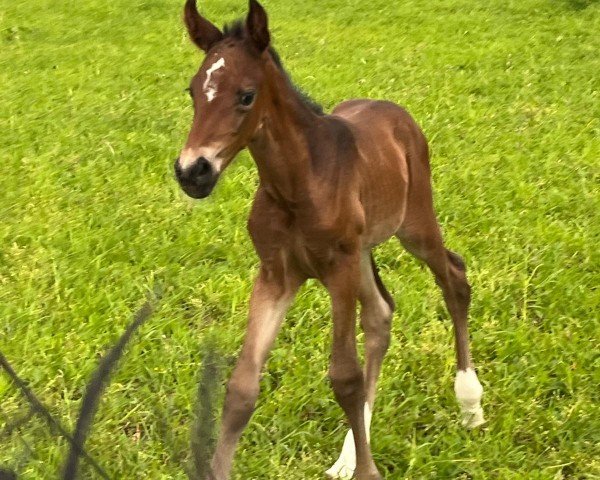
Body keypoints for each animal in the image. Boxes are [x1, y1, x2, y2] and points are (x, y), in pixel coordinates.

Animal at [172, 1, 482, 478]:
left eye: (246, 96)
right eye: (192, 91)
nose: (192, 172)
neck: (296, 184)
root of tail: (396, 112)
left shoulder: (338, 269)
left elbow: (344, 376)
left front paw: (369, 472)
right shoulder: (276, 274)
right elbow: (242, 384)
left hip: (412, 226)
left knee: (453, 277)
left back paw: (470, 403)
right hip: (363, 250)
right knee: (381, 314)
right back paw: (349, 453)